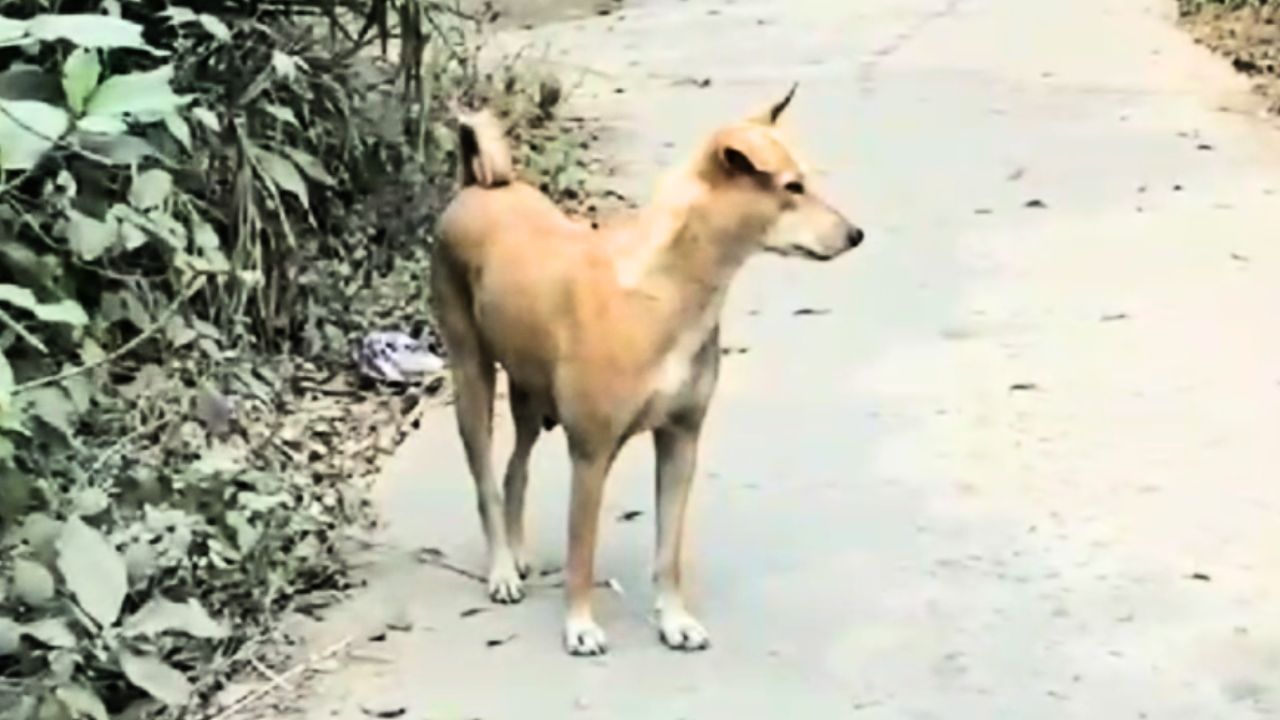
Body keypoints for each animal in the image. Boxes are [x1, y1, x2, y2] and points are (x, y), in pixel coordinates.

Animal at [435, 85, 865, 655]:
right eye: (791, 187)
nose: (856, 234)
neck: (667, 288)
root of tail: (478, 185)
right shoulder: (590, 455)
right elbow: (581, 552)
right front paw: (579, 626)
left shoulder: (680, 442)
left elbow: (668, 553)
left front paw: (674, 620)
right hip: (471, 379)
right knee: (486, 479)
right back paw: (502, 569)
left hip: (529, 392)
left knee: (514, 469)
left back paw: (518, 551)